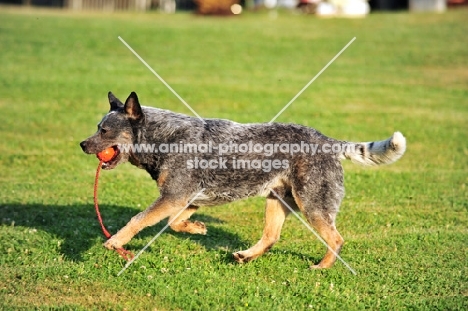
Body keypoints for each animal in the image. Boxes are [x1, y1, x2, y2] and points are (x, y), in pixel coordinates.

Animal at [80, 91, 406, 270]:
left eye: (104, 131)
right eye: (97, 127)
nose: (82, 144)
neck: (163, 138)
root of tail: (327, 140)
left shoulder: (173, 196)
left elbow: (137, 220)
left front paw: (115, 241)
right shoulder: (185, 199)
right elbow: (174, 222)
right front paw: (197, 229)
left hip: (313, 205)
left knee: (336, 239)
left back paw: (321, 267)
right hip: (277, 200)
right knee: (271, 236)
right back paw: (246, 256)